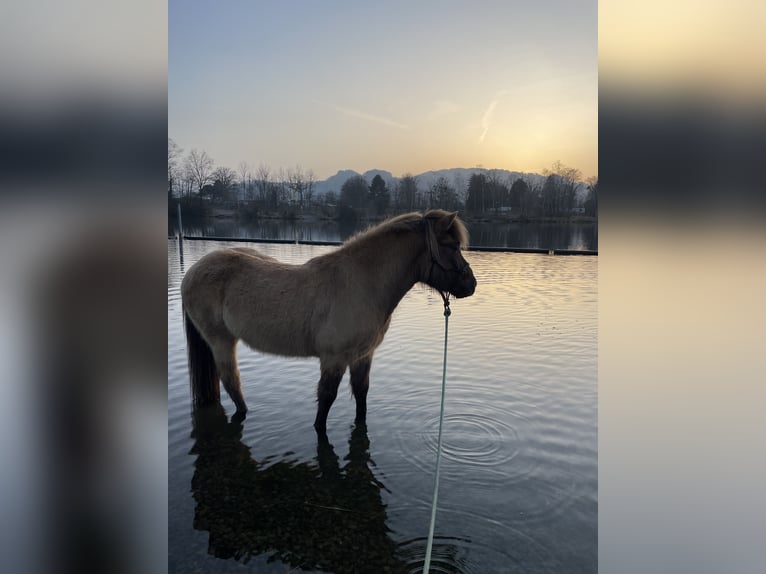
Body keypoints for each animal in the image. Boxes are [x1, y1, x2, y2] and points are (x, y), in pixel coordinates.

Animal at [181, 209, 477, 433]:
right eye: (452, 246)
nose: (471, 284)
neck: (363, 284)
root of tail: (193, 271)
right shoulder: (333, 359)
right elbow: (326, 402)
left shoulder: (362, 356)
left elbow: (361, 395)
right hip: (221, 341)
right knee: (232, 381)